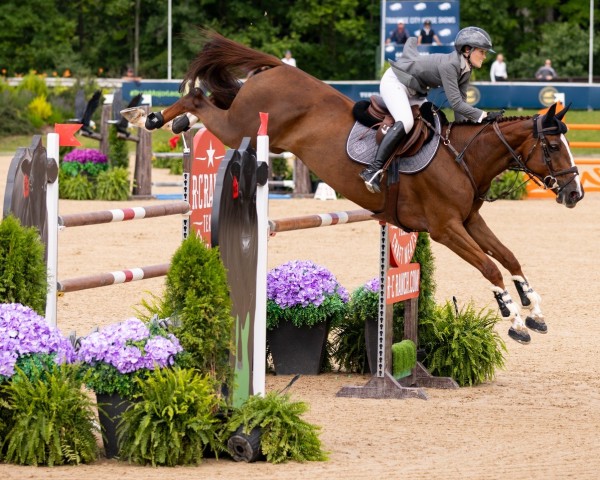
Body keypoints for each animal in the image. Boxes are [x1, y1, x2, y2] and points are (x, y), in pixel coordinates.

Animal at [120, 30, 580, 344]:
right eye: (553, 146)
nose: (575, 194)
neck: (462, 160)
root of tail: (279, 67)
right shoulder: (446, 229)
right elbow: (489, 266)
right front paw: (514, 320)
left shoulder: (470, 221)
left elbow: (509, 256)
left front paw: (534, 310)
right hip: (241, 127)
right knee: (200, 101)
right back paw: (149, 117)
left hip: (252, 129)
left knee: (211, 99)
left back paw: (167, 120)